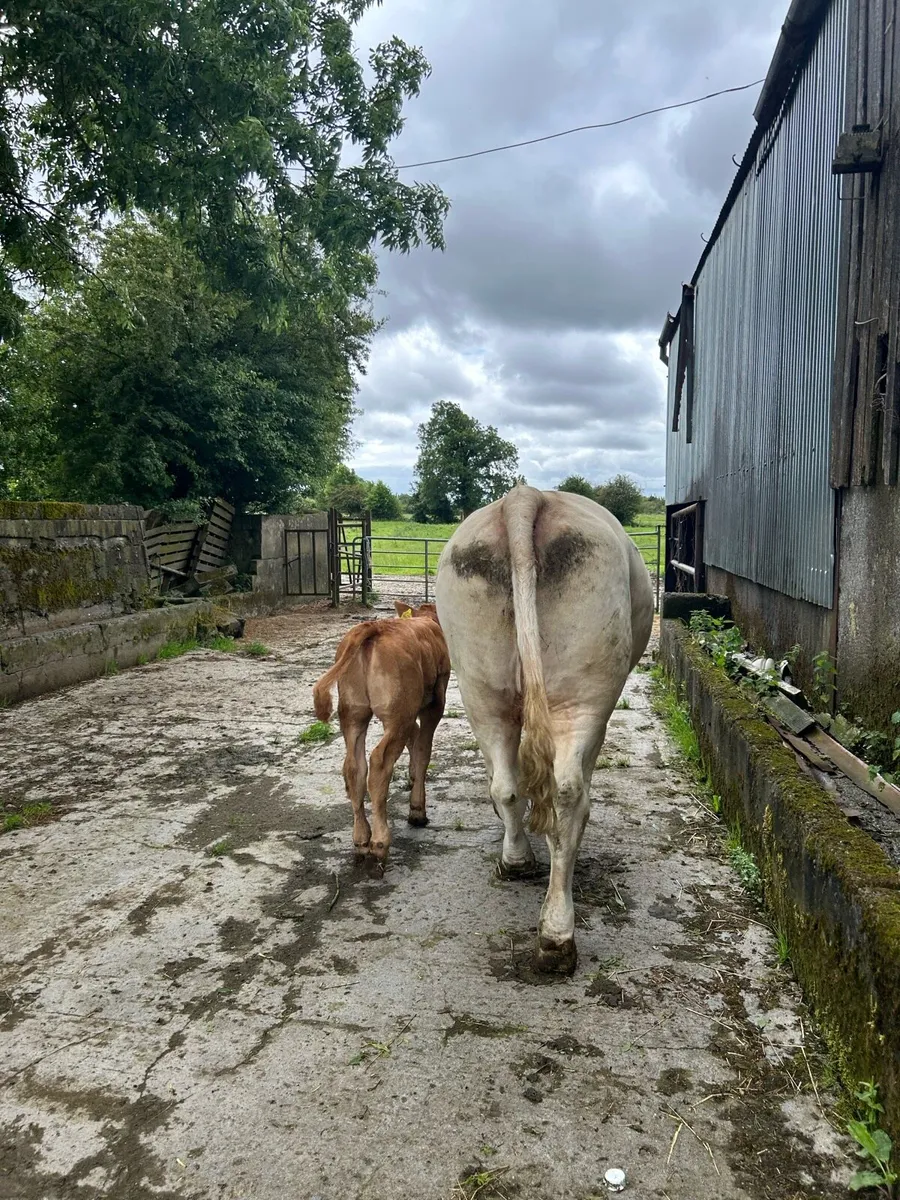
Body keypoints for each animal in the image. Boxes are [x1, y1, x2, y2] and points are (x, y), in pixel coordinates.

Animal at [312, 600, 451, 859]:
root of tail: (374, 627)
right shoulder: (433, 704)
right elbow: (423, 750)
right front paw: (417, 809)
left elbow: (415, 740)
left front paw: (411, 776)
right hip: (398, 714)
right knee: (379, 762)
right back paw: (379, 840)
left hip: (353, 713)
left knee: (354, 767)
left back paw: (361, 837)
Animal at [435, 484, 653, 974]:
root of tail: (524, 497)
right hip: (582, 694)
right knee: (569, 792)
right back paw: (557, 935)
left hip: (481, 689)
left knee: (506, 783)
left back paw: (516, 862)